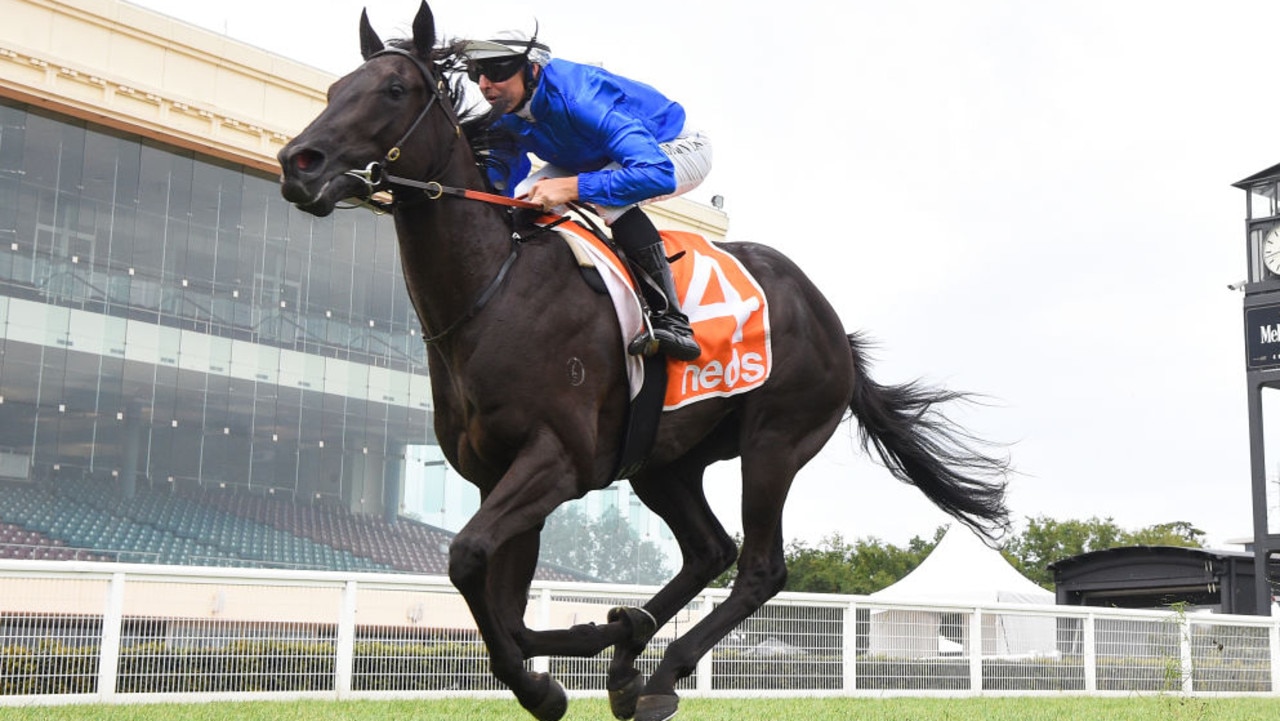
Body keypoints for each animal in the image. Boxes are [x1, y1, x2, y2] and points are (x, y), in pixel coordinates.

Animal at [280, 2, 1008, 717]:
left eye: (393, 90)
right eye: (334, 91)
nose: (298, 163)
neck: (496, 290)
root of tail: (835, 329)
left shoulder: (558, 459)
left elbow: (467, 557)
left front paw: (549, 680)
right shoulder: (498, 474)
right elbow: (504, 602)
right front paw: (582, 649)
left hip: (775, 440)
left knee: (759, 566)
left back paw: (658, 670)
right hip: (665, 460)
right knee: (709, 550)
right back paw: (633, 657)